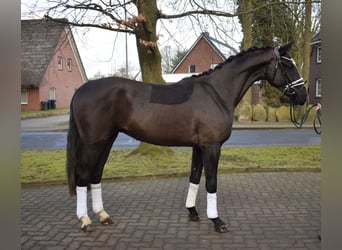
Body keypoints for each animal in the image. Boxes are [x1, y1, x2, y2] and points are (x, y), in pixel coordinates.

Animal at [67, 42, 308, 232]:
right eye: (288, 65)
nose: (303, 96)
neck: (217, 92)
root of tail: (81, 90)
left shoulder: (198, 147)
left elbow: (194, 177)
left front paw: (192, 212)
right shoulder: (212, 146)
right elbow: (211, 182)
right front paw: (217, 221)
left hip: (106, 140)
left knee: (95, 175)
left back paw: (103, 216)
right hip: (93, 143)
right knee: (83, 176)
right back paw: (85, 220)